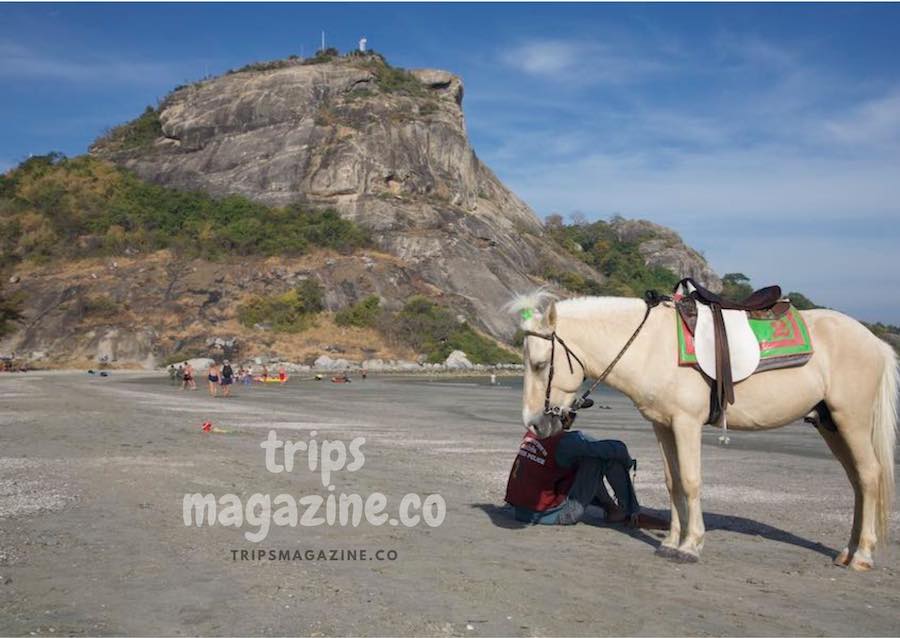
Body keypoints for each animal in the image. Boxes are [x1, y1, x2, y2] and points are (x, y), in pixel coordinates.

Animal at [510, 292, 896, 572]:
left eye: (540, 364)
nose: (534, 423)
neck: (652, 346)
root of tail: (875, 342)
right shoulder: (663, 426)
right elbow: (673, 482)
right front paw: (671, 542)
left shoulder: (686, 423)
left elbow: (691, 481)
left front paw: (691, 546)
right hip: (831, 426)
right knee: (858, 482)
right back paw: (848, 551)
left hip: (852, 420)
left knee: (869, 474)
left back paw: (862, 555)